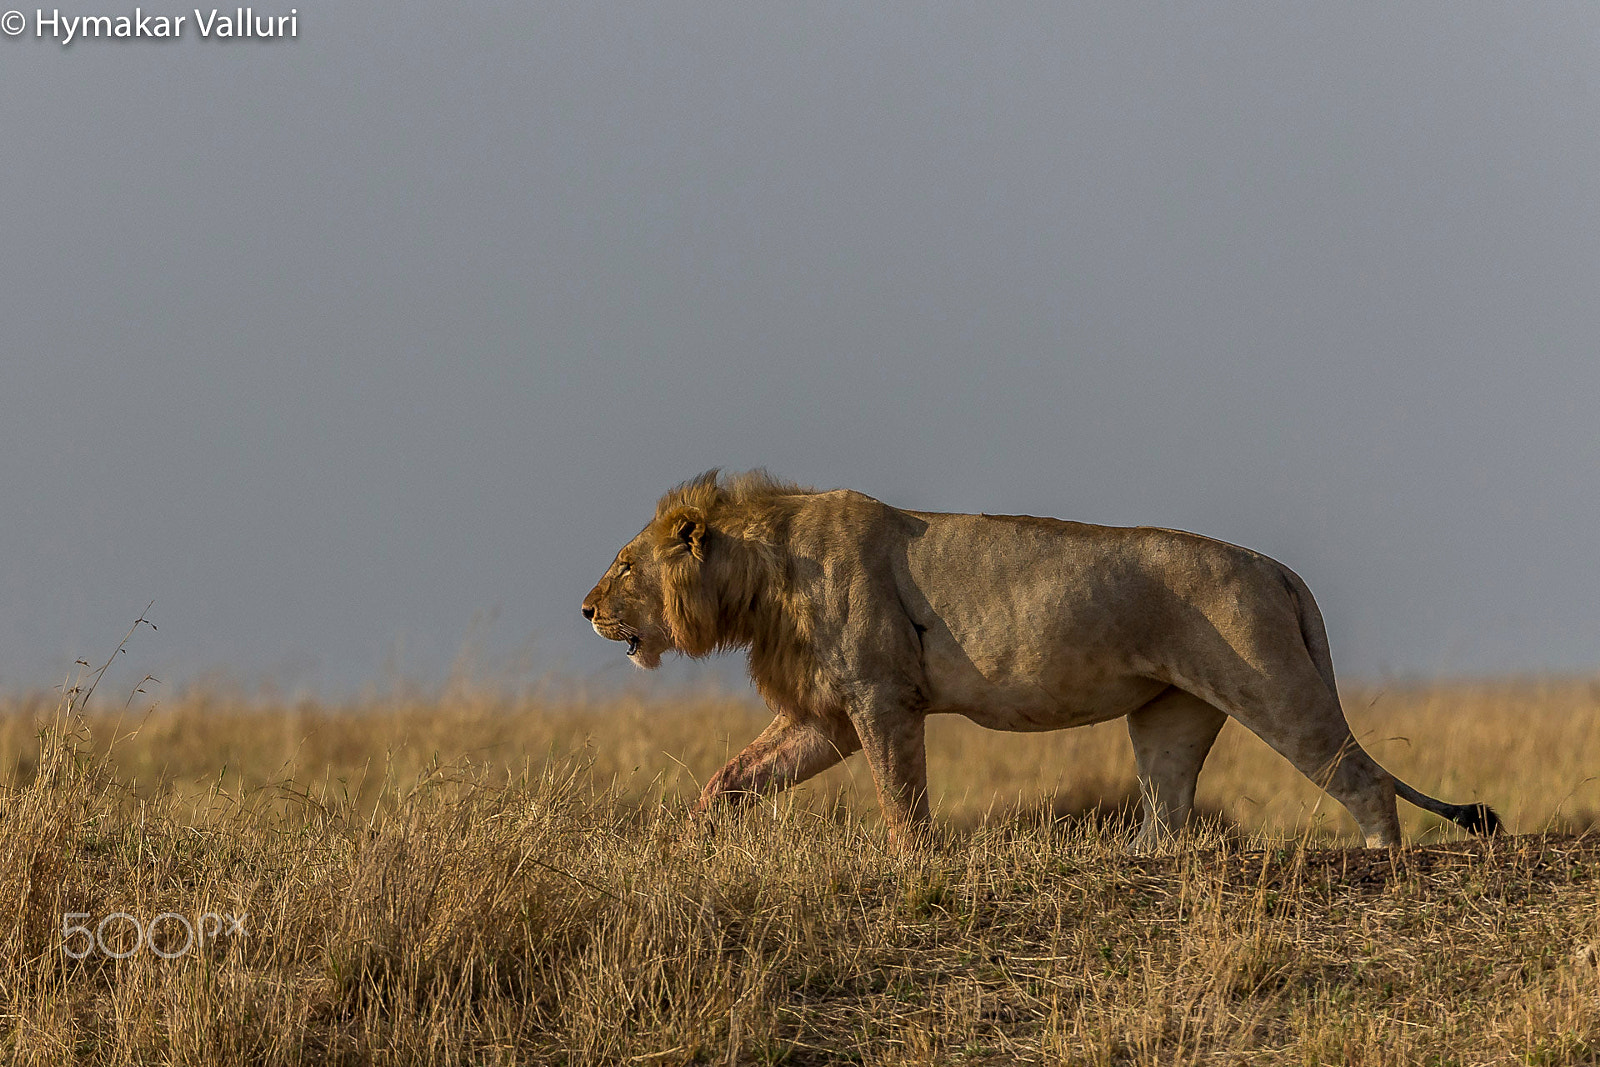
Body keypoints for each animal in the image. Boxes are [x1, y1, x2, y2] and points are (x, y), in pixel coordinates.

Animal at [585, 470, 1497, 844]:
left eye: (625, 565)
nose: (586, 608)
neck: (762, 570)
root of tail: (1277, 566)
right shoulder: (831, 715)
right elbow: (736, 773)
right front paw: (693, 834)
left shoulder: (882, 697)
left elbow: (903, 801)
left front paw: (913, 864)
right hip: (1169, 715)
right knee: (1168, 814)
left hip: (1273, 686)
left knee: (1363, 781)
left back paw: (1384, 862)